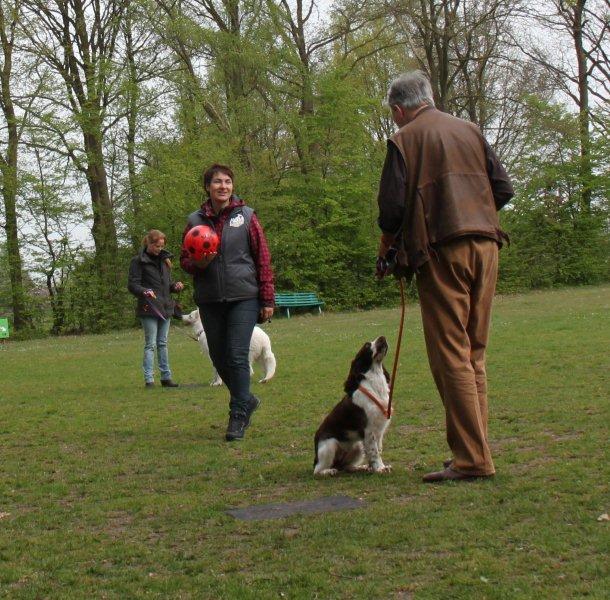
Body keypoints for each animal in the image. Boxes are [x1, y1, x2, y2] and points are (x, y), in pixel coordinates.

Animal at [312, 338, 392, 478]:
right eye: (367, 345)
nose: (382, 337)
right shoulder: (369, 430)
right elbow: (374, 451)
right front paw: (380, 468)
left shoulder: (379, 430)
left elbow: (378, 449)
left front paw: (375, 467)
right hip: (329, 445)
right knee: (317, 470)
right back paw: (329, 471)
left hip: (358, 445)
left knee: (346, 466)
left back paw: (360, 467)